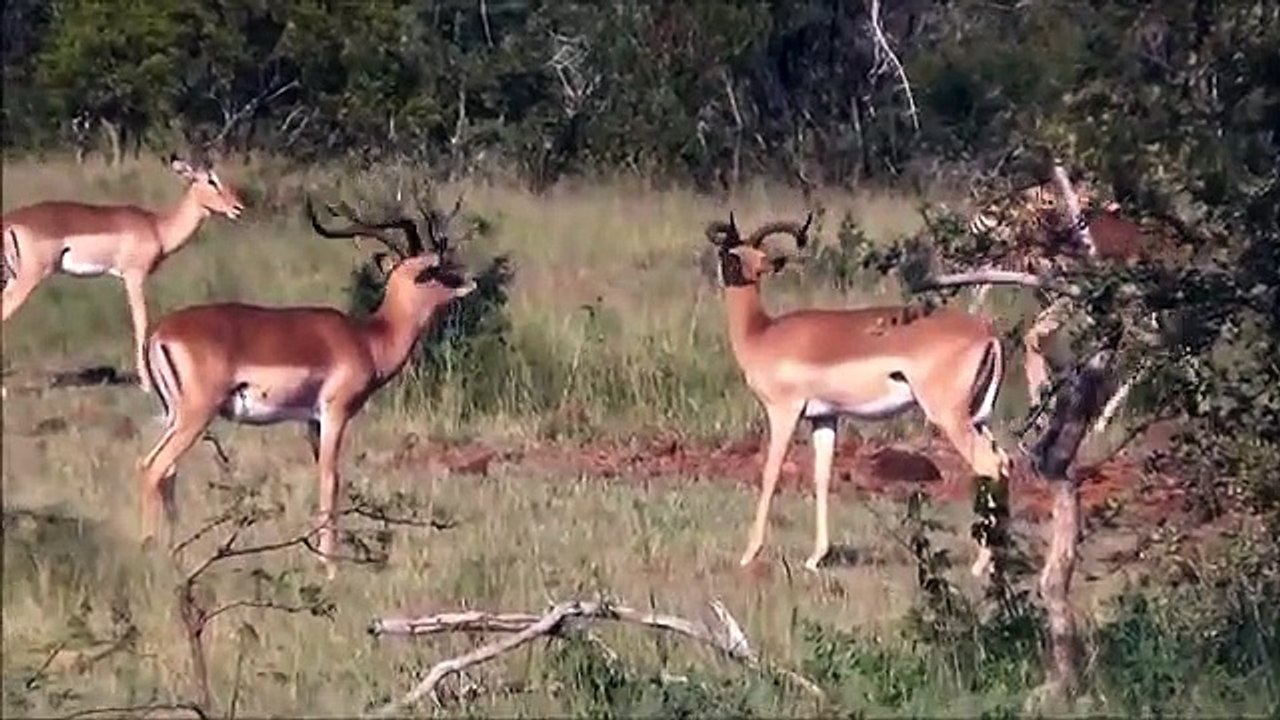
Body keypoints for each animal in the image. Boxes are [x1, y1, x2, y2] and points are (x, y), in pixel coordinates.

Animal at [1, 154, 245, 392]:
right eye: (211, 180)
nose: (238, 208)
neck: (157, 227)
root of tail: (9, 222)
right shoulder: (133, 276)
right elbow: (141, 322)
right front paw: (146, 384)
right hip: (28, 278)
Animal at [136, 195, 476, 578]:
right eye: (431, 269)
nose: (468, 280)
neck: (369, 338)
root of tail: (160, 333)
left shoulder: (311, 422)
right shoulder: (335, 414)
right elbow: (331, 480)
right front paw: (331, 568)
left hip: (174, 416)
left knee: (165, 473)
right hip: (196, 415)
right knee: (153, 468)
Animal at [708, 212, 1010, 576]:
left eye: (728, 256)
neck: (761, 333)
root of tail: (986, 332)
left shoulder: (784, 411)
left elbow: (770, 473)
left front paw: (749, 554)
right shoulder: (824, 417)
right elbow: (822, 477)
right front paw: (816, 557)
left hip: (949, 418)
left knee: (988, 465)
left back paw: (981, 565)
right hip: (979, 417)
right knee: (1003, 462)